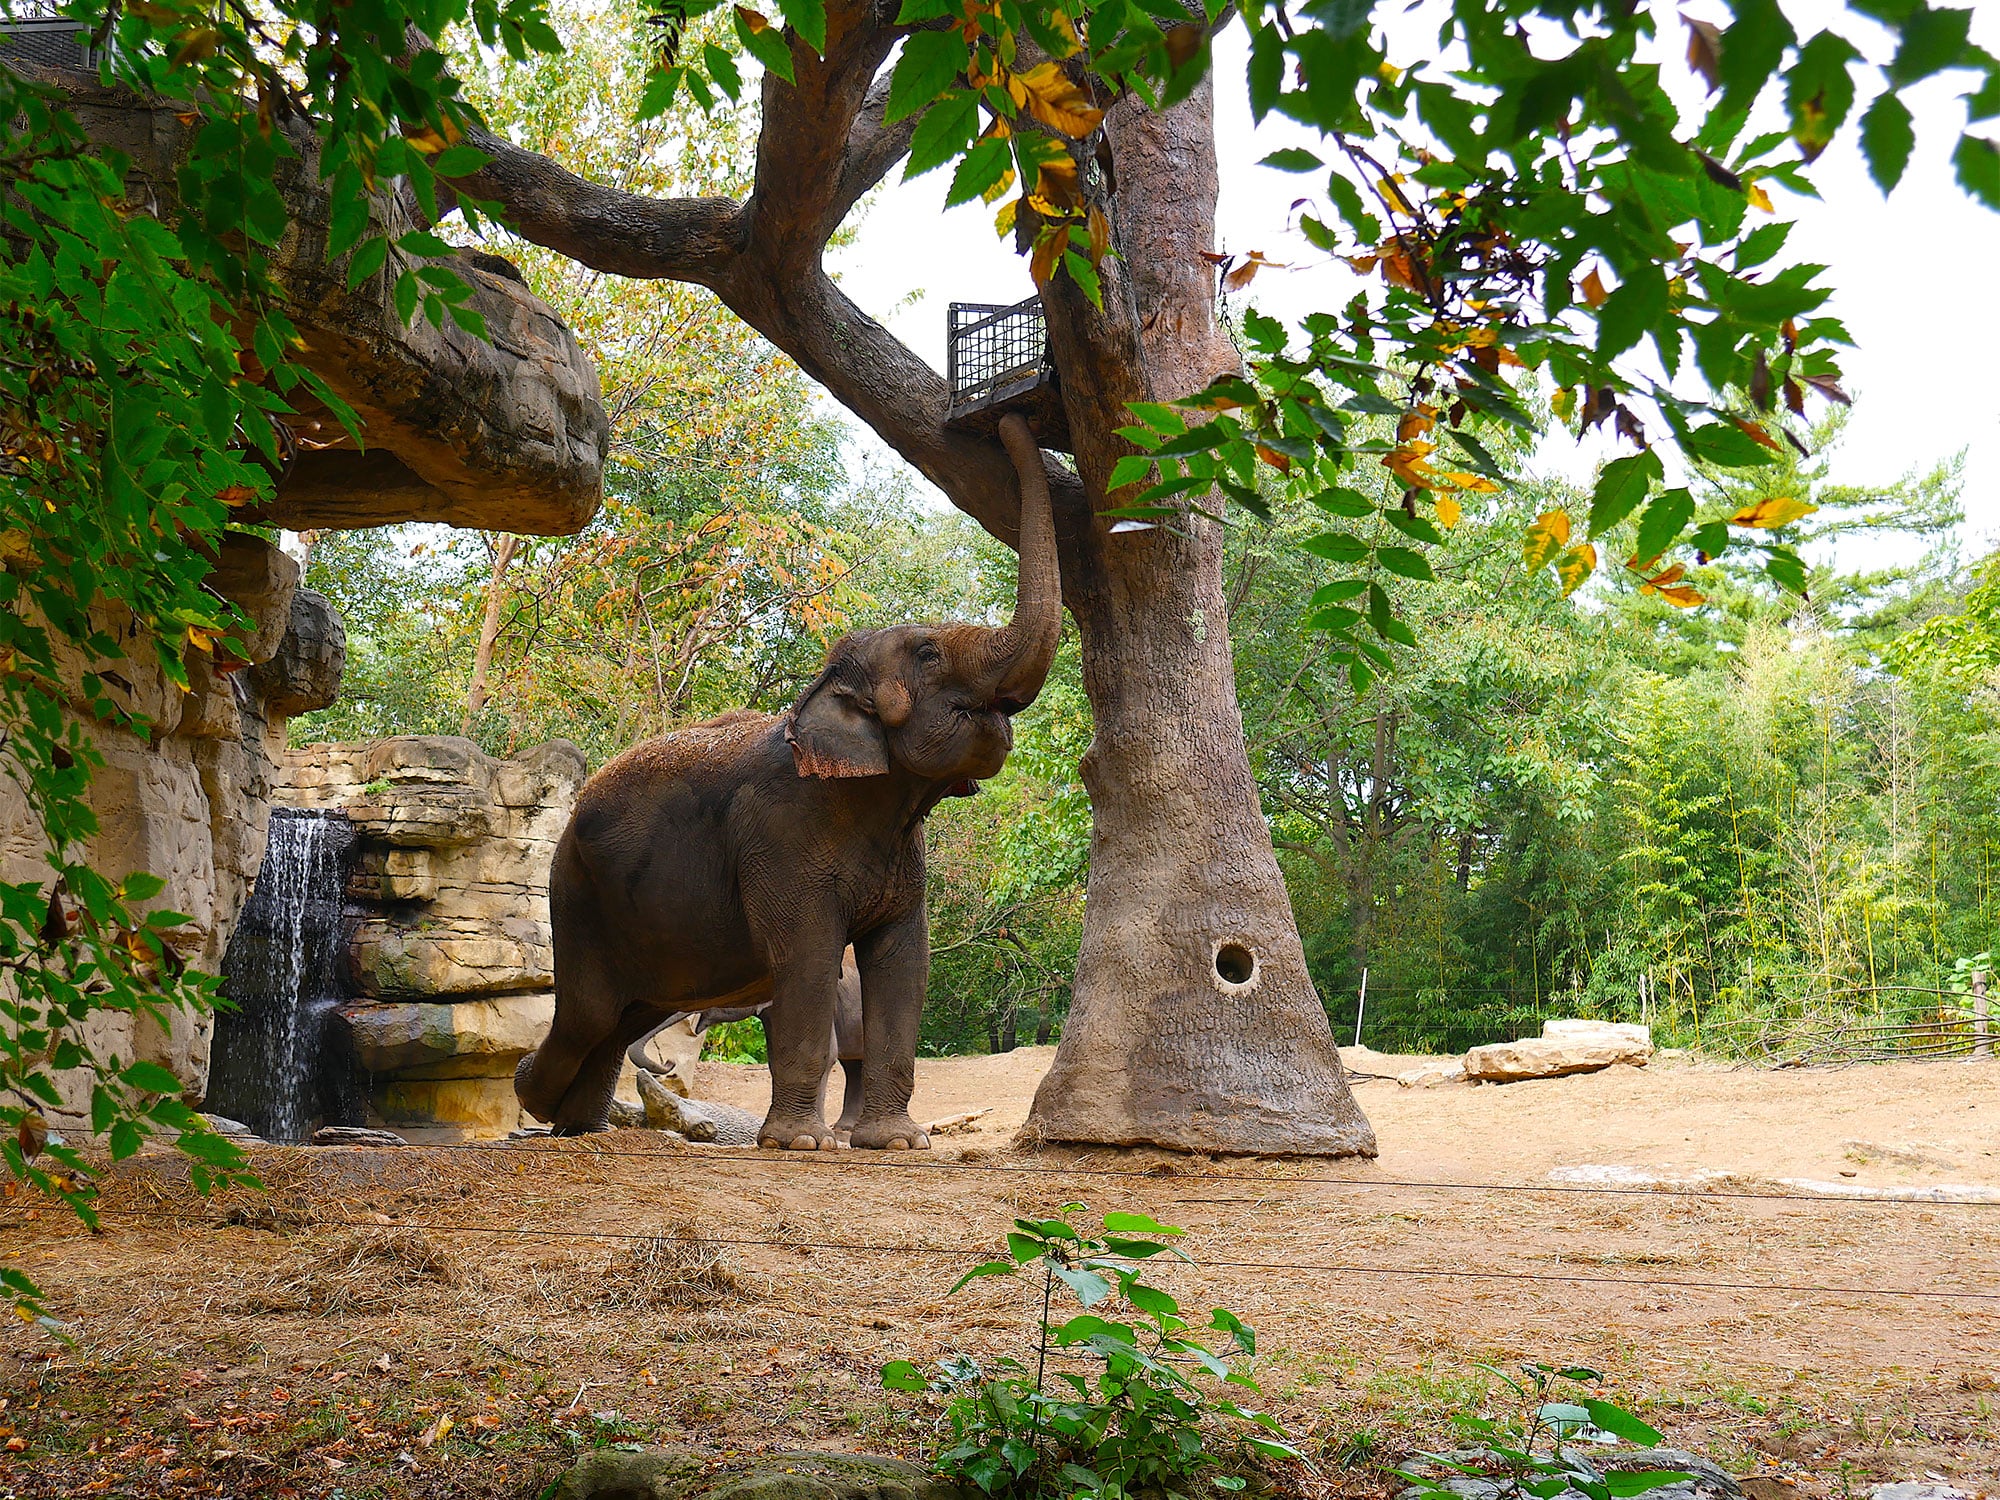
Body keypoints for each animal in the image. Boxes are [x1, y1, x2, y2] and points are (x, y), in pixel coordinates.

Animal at [515, 413, 1059, 1149]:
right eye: (927, 654)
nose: (1010, 420)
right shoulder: (780, 840)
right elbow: (807, 958)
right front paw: (802, 1143)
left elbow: (904, 961)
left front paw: (898, 1143)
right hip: (575, 895)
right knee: (591, 1014)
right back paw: (537, 1098)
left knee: (626, 1014)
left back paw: (579, 1126)